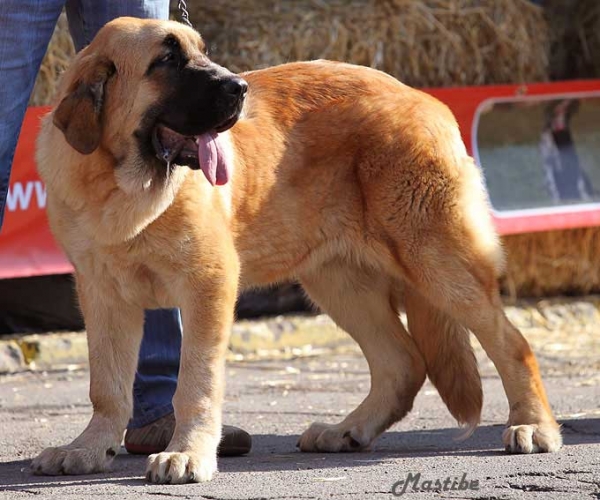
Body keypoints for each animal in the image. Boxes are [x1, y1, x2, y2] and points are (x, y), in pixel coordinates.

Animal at [32, 17, 560, 482]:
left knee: (511, 342)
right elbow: (108, 387)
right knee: (402, 362)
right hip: (340, 282)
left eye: (201, 52)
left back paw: (533, 426)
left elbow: (195, 384)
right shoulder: (103, 296)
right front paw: (89, 449)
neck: (120, 187)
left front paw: (187, 454)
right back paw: (348, 430)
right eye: (166, 60)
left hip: (437, 260)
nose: (239, 88)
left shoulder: (208, 286)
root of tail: (420, 96)